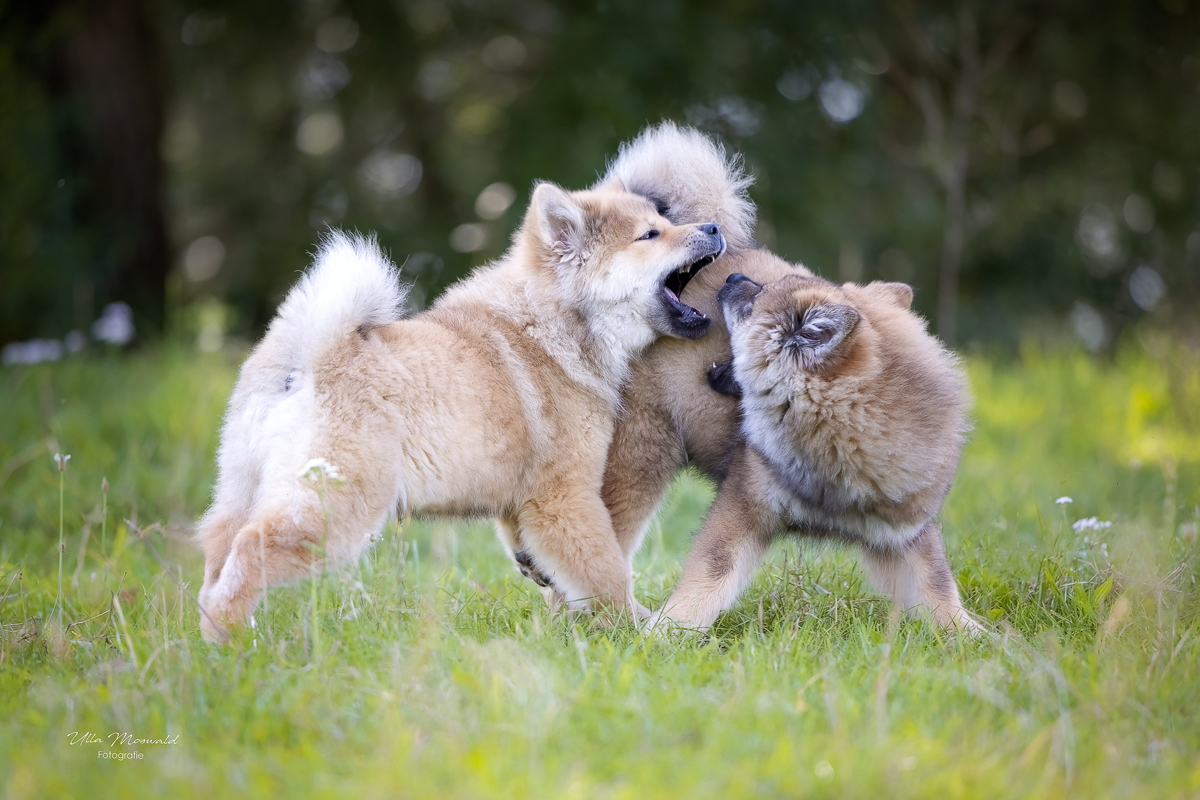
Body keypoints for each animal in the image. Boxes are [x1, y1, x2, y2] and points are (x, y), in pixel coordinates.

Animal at [192, 178, 724, 642]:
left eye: (663, 220)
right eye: (650, 234)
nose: (715, 227)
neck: (554, 320)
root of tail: (311, 355)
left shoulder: (522, 497)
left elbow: (543, 553)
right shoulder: (565, 494)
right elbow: (606, 570)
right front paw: (640, 628)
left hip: (244, 487)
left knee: (218, 556)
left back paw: (215, 639)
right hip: (338, 509)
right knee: (251, 548)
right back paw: (235, 640)